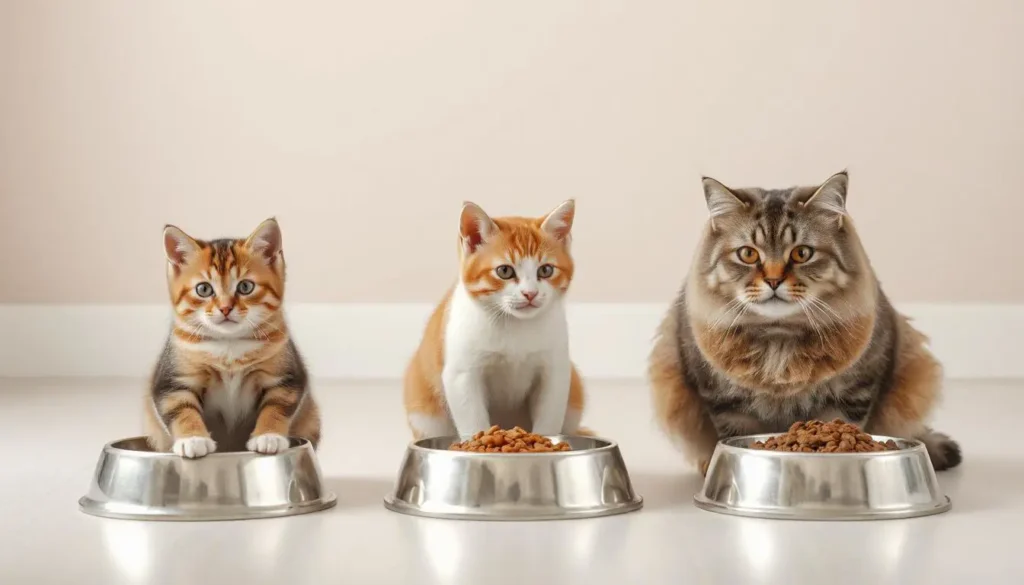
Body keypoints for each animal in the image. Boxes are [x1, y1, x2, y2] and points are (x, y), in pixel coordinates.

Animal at [144, 218, 319, 456]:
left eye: (245, 286)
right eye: (203, 289)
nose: (225, 308)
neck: (229, 345)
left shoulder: (285, 375)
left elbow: (277, 405)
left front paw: (268, 436)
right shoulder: (173, 378)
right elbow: (180, 407)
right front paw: (193, 439)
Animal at [403, 201, 589, 438]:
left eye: (546, 270)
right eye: (505, 271)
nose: (530, 293)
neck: (515, 325)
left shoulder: (555, 371)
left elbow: (549, 419)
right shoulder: (462, 374)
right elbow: (473, 421)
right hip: (426, 414)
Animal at [651, 170, 962, 475]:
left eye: (801, 253)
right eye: (748, 254)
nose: (773, 280)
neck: (779, 340)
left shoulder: (853, 394)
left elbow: (840, 425)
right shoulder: (724, 401)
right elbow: (734, 436)